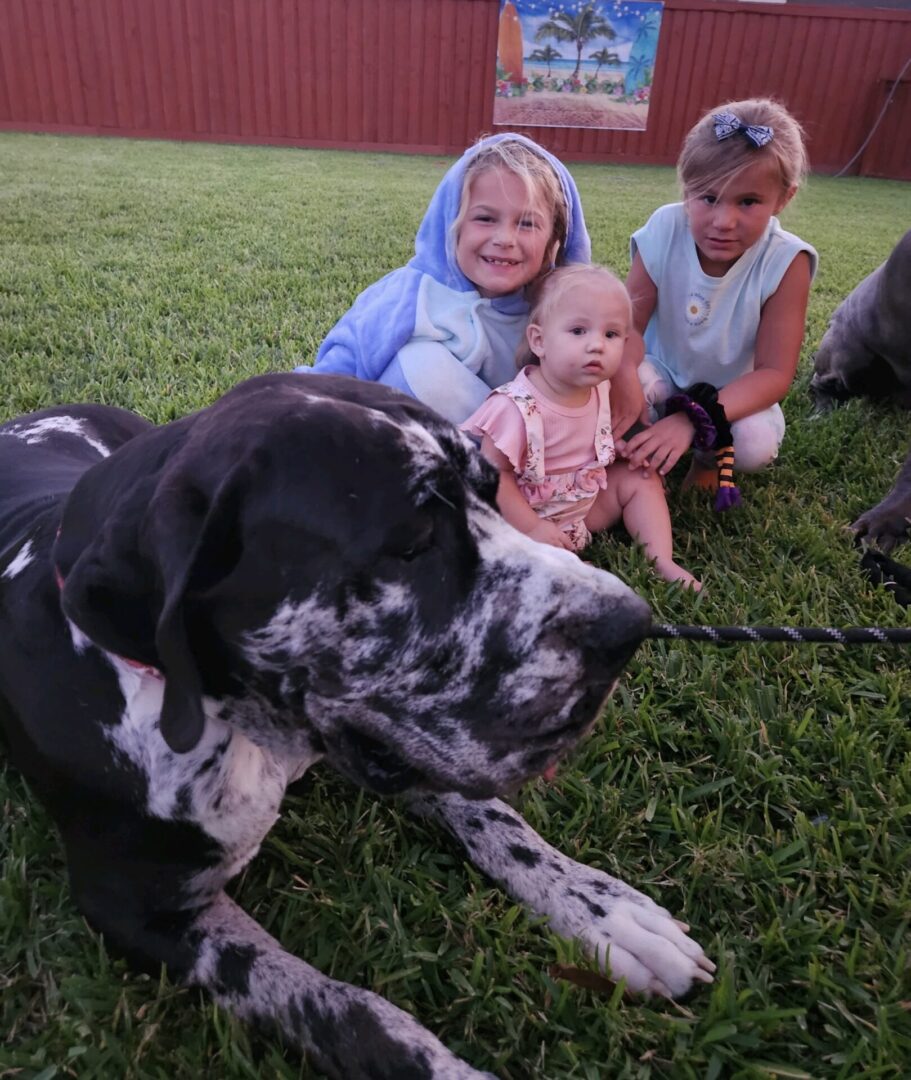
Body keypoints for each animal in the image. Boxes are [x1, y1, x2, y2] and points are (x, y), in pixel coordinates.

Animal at [0, 375, 712, 1075]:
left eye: (491, 492)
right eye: (411, 544)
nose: (630, 627)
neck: (245, 732)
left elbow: (495, 819)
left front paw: (606, 911)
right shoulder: (135, 910)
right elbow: (342, 1012)